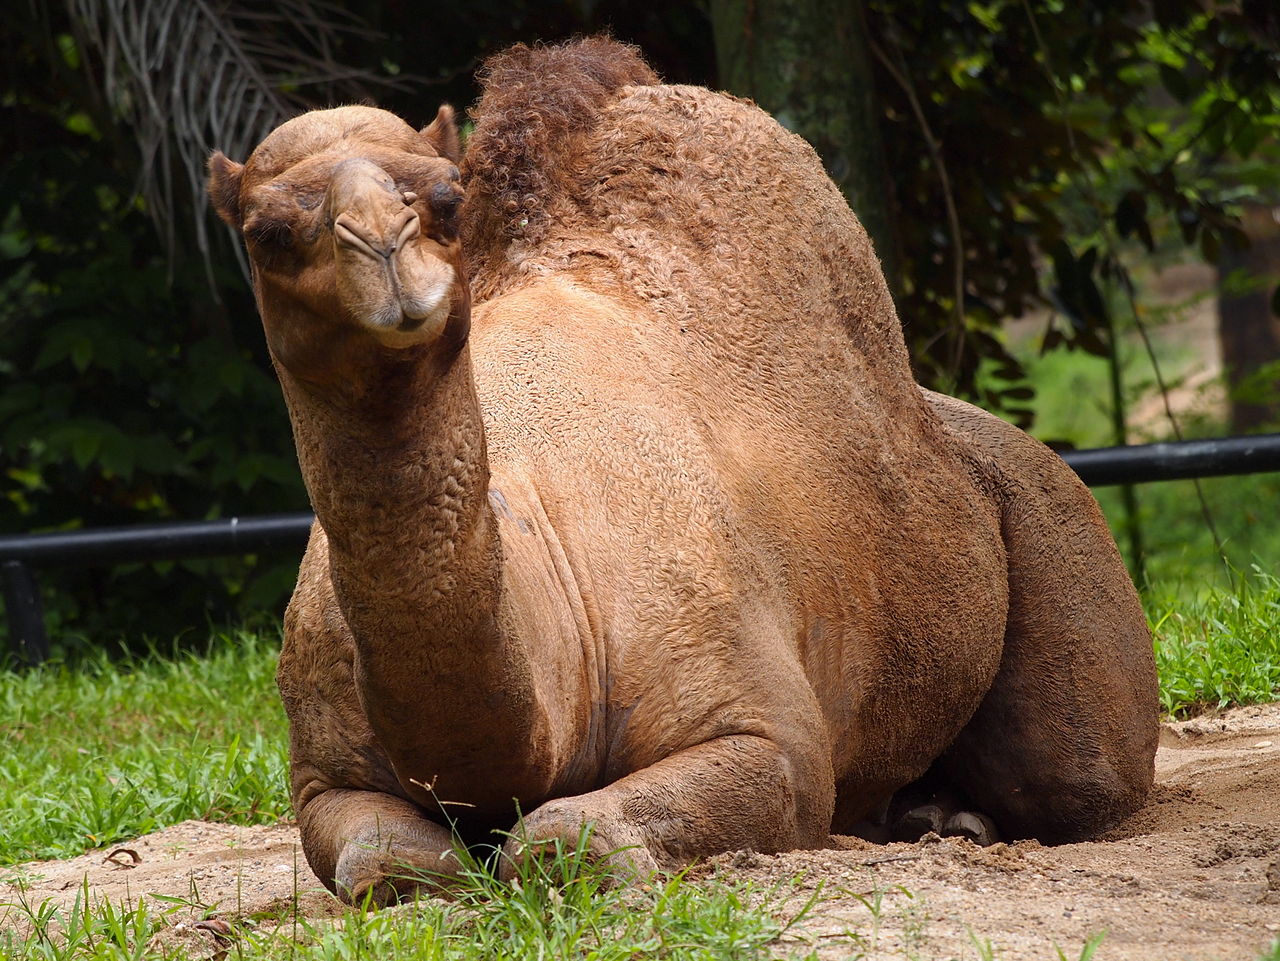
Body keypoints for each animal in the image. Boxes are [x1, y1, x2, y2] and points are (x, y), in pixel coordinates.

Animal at [209, 37, 1162, 905]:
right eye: (266, 233)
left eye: (445, 198)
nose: (384, 247)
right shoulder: (324, 774)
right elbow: (387, 861)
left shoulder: (762, 729)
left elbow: (568, 835)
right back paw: (930, 815)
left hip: (1046, 530)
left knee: (1075, 773)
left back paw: (955, 819)